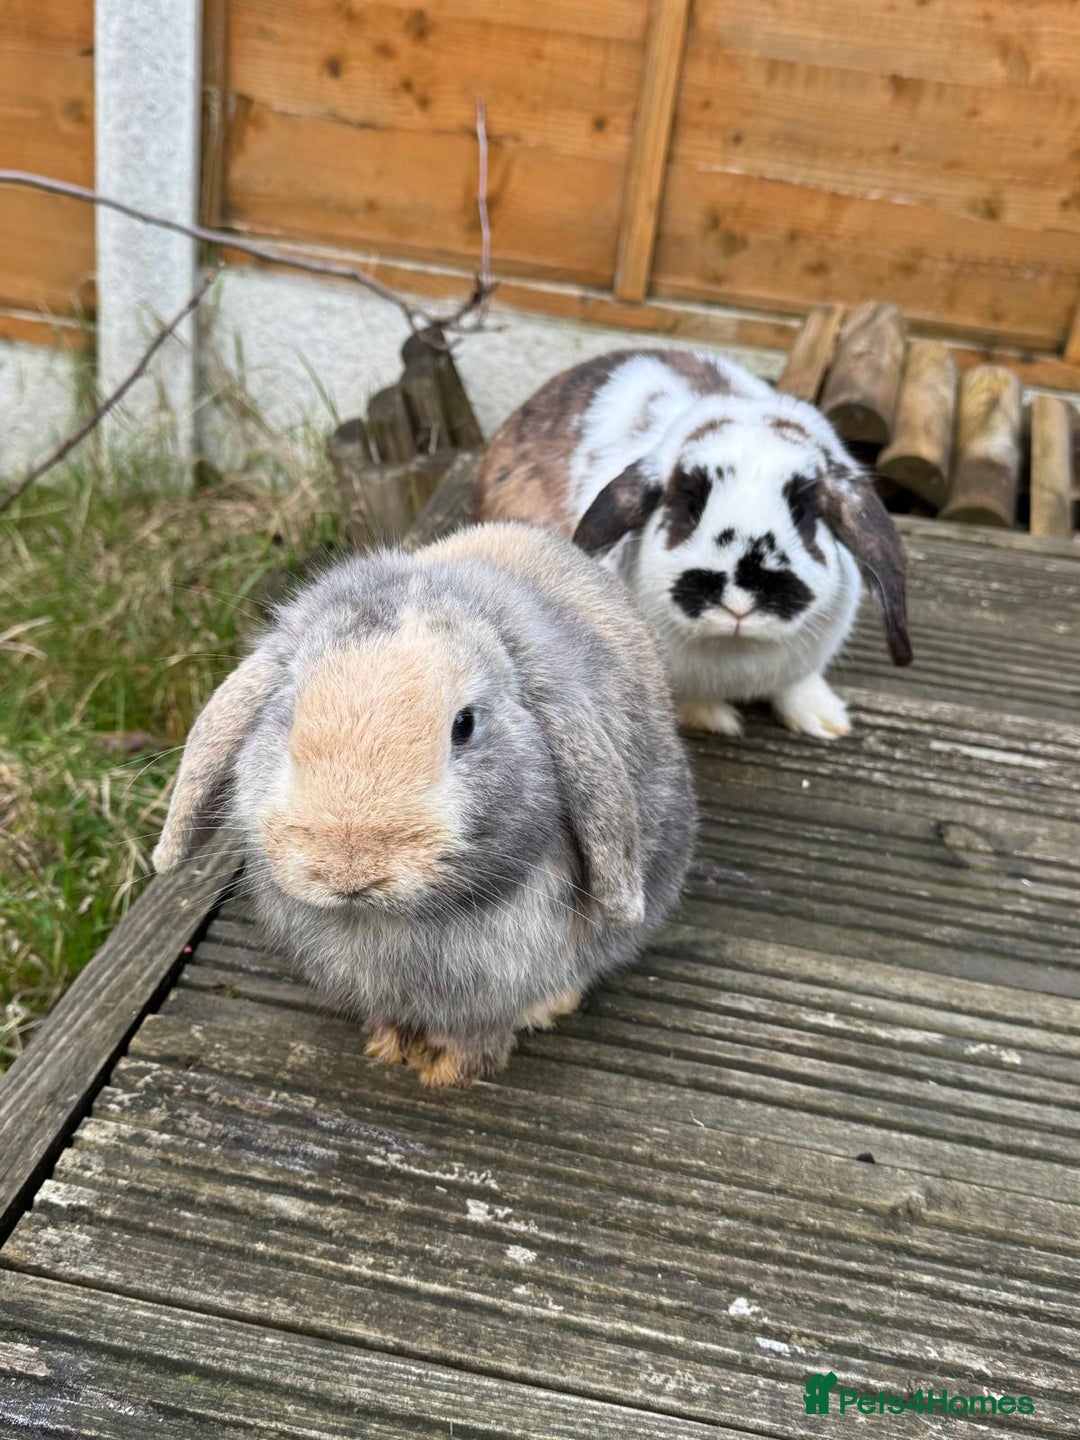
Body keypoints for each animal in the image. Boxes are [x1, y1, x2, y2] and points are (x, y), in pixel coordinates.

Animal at [152, 522, 695, 1088]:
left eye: (465, 725)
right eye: (290, 712)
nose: (350, 870)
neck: (390, 923)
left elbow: (484, 1025)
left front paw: (447, 1068)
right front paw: (390, 1044)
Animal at [479, 348, 912, 740]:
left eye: (804, 510)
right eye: (688, 504)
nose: (739, 599)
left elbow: (796, 687)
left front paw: (825, 721)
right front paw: (716, 719)